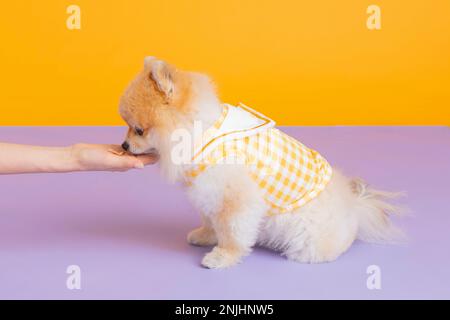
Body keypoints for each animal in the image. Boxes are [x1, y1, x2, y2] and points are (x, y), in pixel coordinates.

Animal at [118, 57, 402, 268]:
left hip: (307, 234)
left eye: (139, 130)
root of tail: (354, 206)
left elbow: (231, 231)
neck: (203, 132)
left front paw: (223, 256)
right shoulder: (208, 192)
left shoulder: (234, 196)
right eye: (129, 128)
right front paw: (205, 236)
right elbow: (210, 220)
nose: (124, 146)